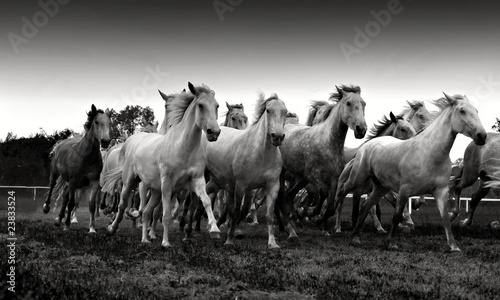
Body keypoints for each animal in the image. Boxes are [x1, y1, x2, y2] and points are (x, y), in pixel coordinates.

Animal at [43, 104, 111, 233]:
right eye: (96, 122)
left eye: (109, 122)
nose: (105, 141)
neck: (86, 157)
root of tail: (60, 144)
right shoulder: (74, 181)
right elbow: (71, 203)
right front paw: (67, 225)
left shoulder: (94, 182)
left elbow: (91, 205)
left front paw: (92, 228)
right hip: (55, 173)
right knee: (52, 185)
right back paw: (47, 208)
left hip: (68, 182)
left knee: (64, 196)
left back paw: (59, 219)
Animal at [103, 83, 221, 247]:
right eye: (200, 105)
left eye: (217, 105)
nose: (214, 132)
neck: (183, 148)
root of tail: (132, 140)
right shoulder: (167, 184)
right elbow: (165, 215)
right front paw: (165, 242)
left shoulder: (196, 181)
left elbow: (206, 201)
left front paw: (214, 229)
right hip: (130, 183)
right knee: (122, 204)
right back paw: (111, 228)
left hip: (155, 191)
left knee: (146, 211)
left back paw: (145, 239)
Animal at [204, 94, 290, 248]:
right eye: (268, 110)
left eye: (285, 111)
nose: (278, 137)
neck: (261, 154)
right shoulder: (240, 186)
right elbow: (235, 211)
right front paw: (229, 239)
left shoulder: (271, 186)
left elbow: (268, 215)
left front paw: (272, 243)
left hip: (217, 181)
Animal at [278, 83, 368, 236]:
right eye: (348, 103)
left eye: (363, 104)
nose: (361, 129)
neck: (328, 143)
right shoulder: (314, 176)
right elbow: (321, 196)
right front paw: (312, 214)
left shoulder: (334, 179)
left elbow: (330, 208)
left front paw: (318, 221)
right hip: (286, 175)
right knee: (281, 197)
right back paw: (287, 226)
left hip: (301, 179)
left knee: (289, 195)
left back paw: (293, 221)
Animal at [330, 94, 486, 251]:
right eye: (462, 111)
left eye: (477, 111)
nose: (482, 136)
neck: (430, 153)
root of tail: (366, 146)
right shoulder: (404, 190)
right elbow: (397, 214)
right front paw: (392, 242)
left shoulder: (440, 191)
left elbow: (445, 219)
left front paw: (454, 247)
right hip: (357, 180)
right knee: (341, 195)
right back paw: (330, 223)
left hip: (380, 188)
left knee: (366, 206)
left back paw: (356, 237)